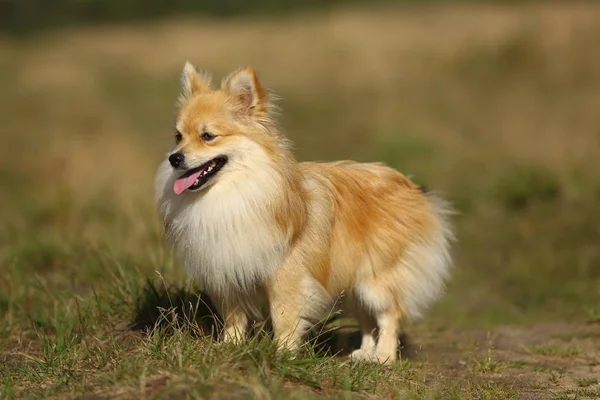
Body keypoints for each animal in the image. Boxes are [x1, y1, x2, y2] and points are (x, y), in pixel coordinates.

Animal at [155, 63, 454, 366]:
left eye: (207, 136)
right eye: (178, 136)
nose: (175, 158)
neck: (232, 192)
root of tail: (410, 185)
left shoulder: (286, 275)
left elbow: (283, 318)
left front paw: (283, 355)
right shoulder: (226, 273)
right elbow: (234, 316)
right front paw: (230, 347)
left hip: (375, 278)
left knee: (388, 315)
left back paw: (383, 357)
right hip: (351, 281)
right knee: (367, 319)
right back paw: (364, 353)